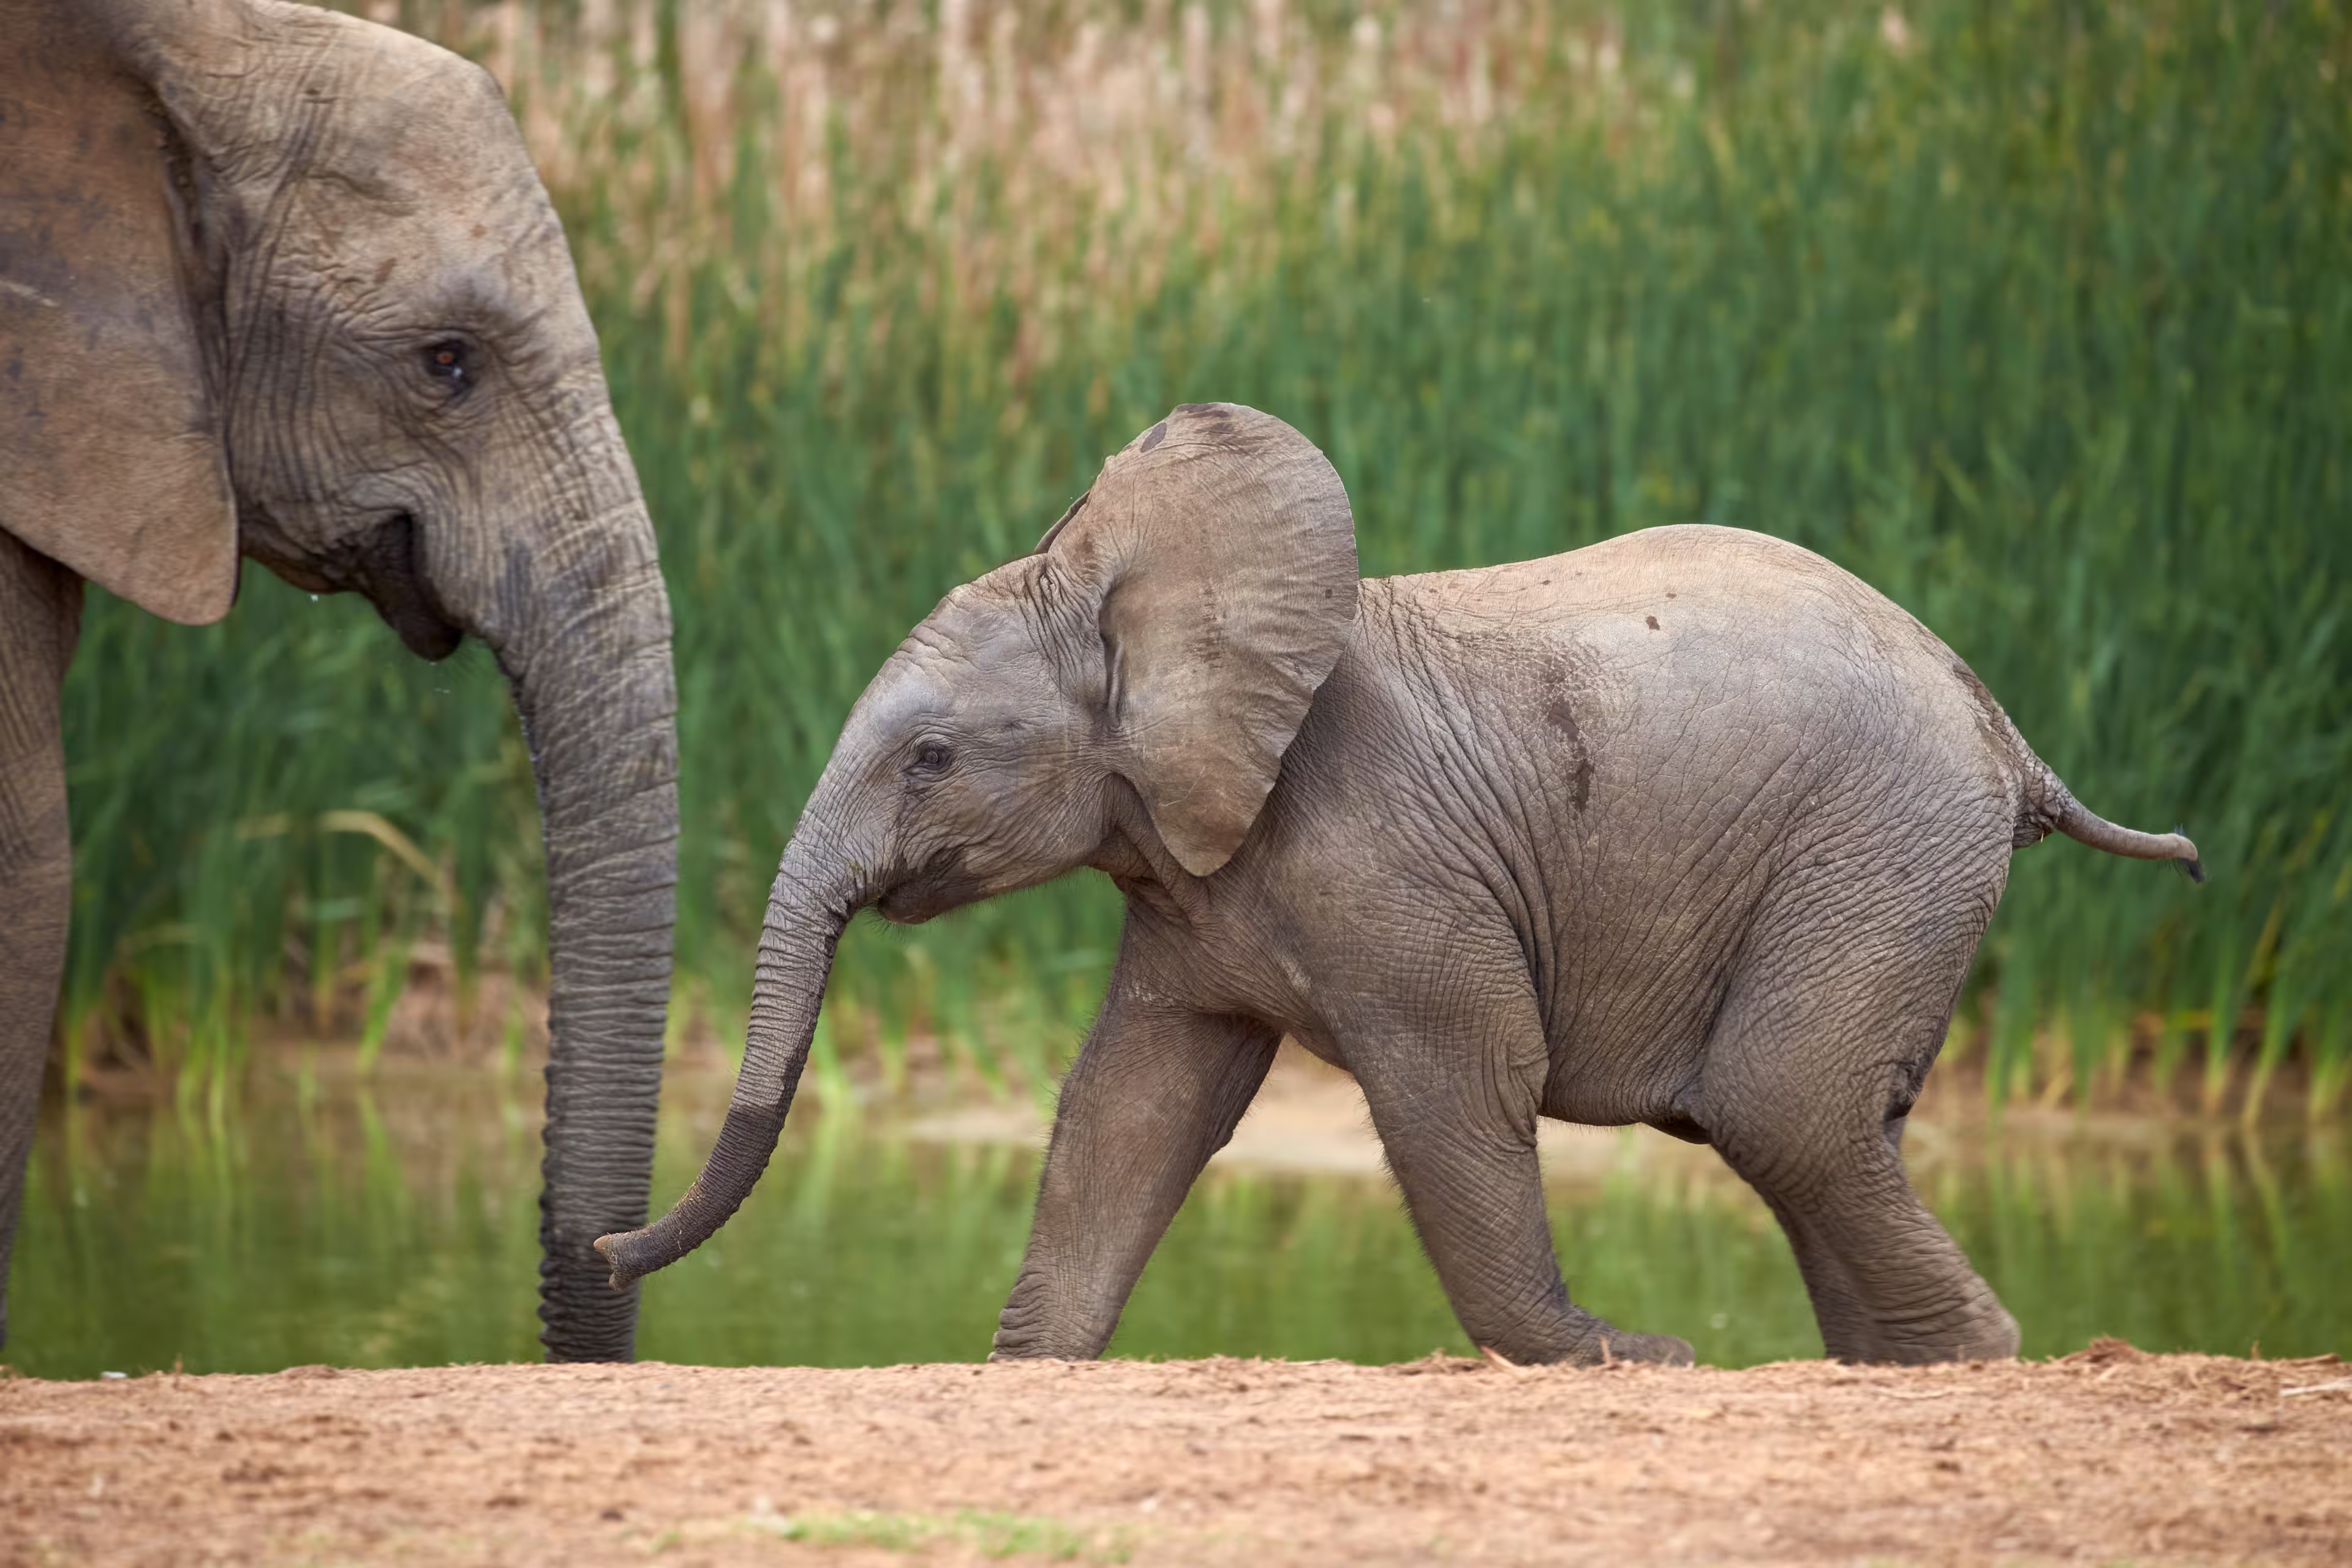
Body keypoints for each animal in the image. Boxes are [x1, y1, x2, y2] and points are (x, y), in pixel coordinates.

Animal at [596, 403, 2201, 1367]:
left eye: (929, 757)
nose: (607, 1249)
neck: (1146, 599)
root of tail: (1999, 720)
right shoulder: (1192, 877)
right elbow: (1131, 1102)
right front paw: (1029, 1365)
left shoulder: (1387, 860)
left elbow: (1461, 1082)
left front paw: (1621, 1356)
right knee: (1832, 1119)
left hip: (1876, 840)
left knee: (1781, 1101)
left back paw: (1977, 1358)